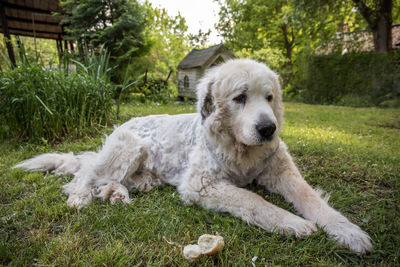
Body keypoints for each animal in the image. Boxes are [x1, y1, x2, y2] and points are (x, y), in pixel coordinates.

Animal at [14, 59, 372, 254]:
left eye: (270, 98)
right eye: (240, 98)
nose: (268, 128)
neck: (240, 150)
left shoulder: (283, 173)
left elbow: (313, 200)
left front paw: (349, 232)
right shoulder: (201, 184)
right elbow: (254, 201)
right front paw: (293, 223)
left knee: (111, 179)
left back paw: (117, 193)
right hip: (127, 147)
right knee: (85, 172)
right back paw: (80, 196)